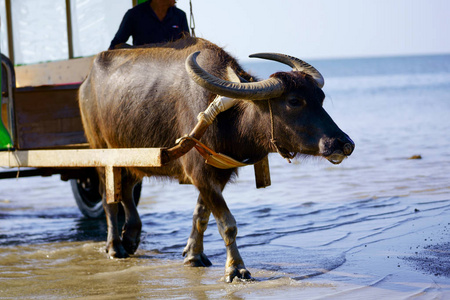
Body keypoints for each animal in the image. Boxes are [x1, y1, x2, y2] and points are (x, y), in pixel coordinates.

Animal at [80, 36, 356, 282]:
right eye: (294, 101)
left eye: (321, 98)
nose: (343, 144)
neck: (229, 117)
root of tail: (85, 83)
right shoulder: (200, 175)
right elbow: (227, 224)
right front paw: (236, 269)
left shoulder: (218, 174)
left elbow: (201, 215)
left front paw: (194, 256)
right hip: (101, 154)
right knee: (108, 198)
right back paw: (115, 247)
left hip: (129, 158)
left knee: (126, 190)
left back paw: (131, 238)